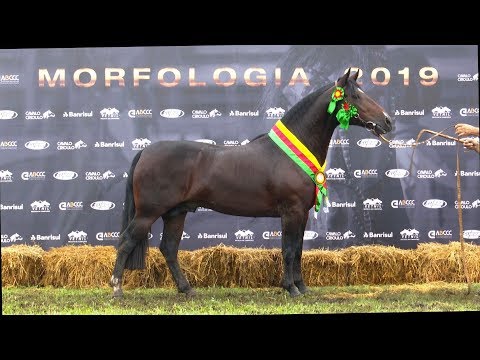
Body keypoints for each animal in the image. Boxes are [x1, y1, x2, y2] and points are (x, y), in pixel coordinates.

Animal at [110, 68, 392, 298]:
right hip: (148, 213)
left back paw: (187, 289)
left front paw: (302, 287)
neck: (290, 154)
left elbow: (299, 250)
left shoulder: (301, 214)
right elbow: (289, 250)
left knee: (168, 248)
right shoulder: (291, 211)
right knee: (126, 241)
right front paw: (290, 289)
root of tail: (146, 151)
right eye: (355, 96)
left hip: (175, 213)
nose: (388, 121)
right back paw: (117, 289)